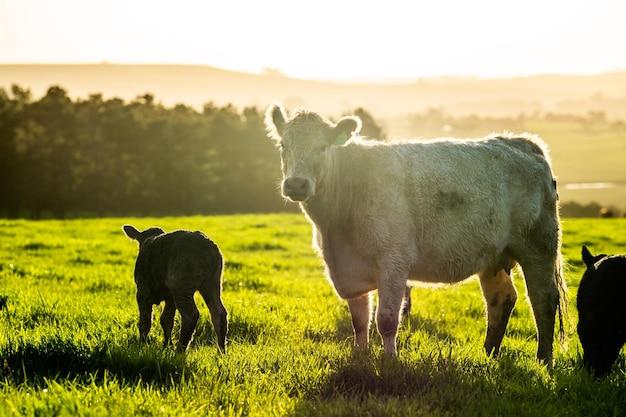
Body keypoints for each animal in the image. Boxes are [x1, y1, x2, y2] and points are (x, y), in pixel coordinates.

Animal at [264, 103, 564, 360]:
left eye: (323, 147)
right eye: (282, 145)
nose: (296, 184)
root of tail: (521, 142)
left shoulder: (394, 261)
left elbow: (386, 319)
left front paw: (389, 361)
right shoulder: (349, 267)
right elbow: (359, 320)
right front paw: (360, 355)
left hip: (539, 246)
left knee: (544, 299)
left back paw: (543, 360)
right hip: (494, 256)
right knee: (501, 299)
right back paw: (489, 355)